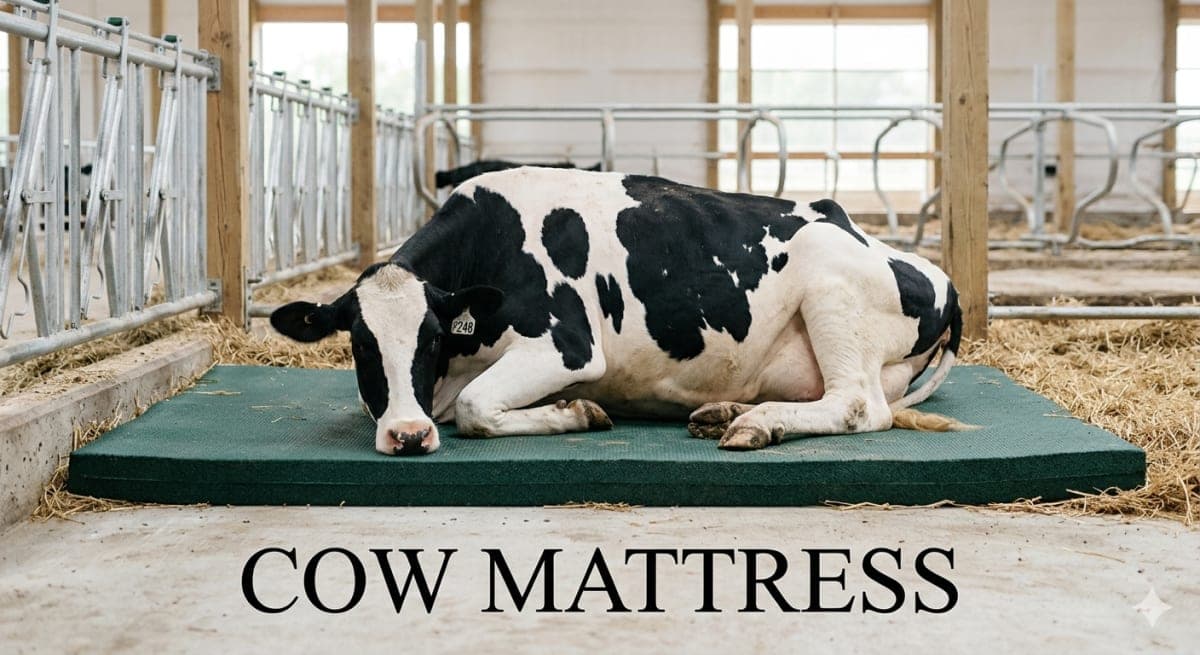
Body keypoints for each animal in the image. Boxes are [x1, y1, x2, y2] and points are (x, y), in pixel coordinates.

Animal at [271, 167, 966, 456]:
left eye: (434, 338)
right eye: (360, 344)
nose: (409, 436)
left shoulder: (566, 345)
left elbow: (474, 407)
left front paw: (577, 412)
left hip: (831, 286)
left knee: (857, 406)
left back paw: (755, 426)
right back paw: (726, 412)